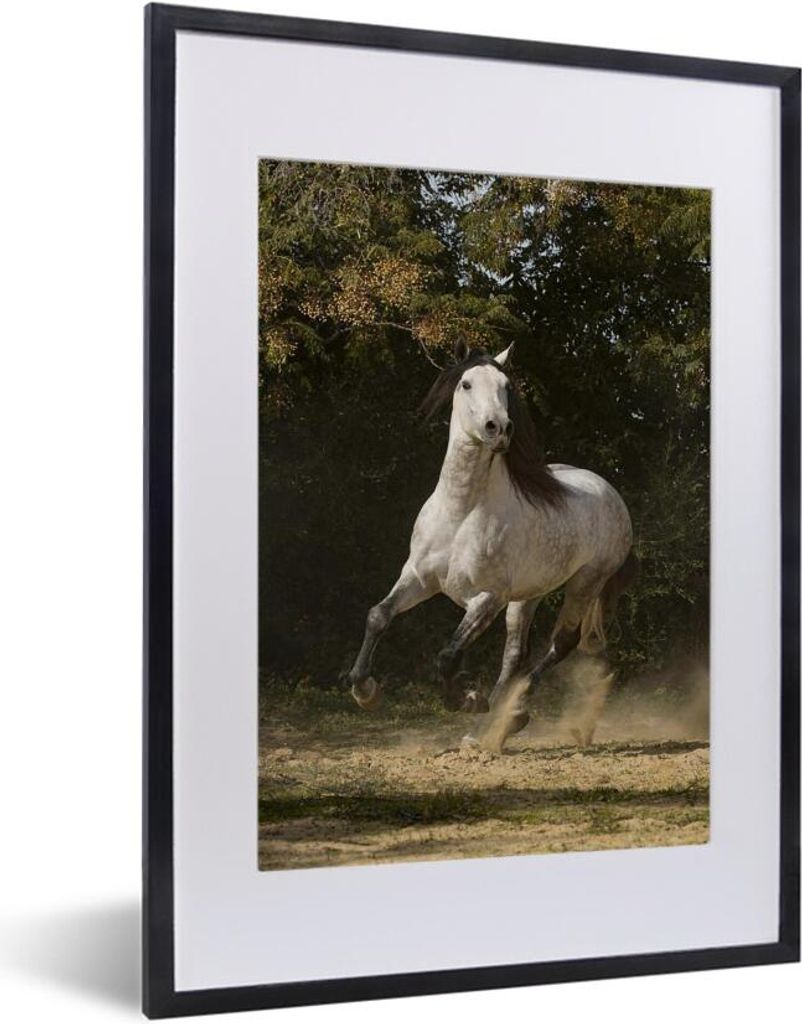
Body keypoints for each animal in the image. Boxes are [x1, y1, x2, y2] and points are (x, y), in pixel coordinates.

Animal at [344, 340, 637, 752]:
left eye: (506, 387)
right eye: (466, 384)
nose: (498, 428)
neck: (460, 512)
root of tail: (611, 493)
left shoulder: (487, 598)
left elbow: (448, 655)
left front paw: (468, 699)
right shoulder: (418, 578)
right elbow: (378, 615)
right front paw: (365, 691)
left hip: (585, 582)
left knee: (561, 643)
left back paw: (509, 715)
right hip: (529, 594)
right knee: (515, 654)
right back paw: (493, 726)